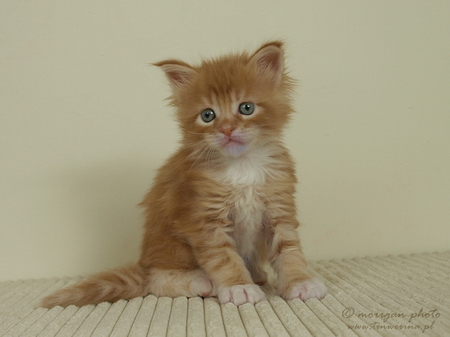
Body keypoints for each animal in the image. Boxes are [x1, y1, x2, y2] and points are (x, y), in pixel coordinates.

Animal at [40, 40, 326, 308]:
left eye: (246, 108)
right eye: (208, 115)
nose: (227, 129)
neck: (242, 166)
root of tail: (145, 263)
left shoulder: (279, 207)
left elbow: (290, 251)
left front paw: (301, 282)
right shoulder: (202, 217)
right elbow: (223, 257)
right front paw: (238, 287)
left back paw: (256, 274)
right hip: (170, 251)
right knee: (156, 281)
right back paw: (203, 281)